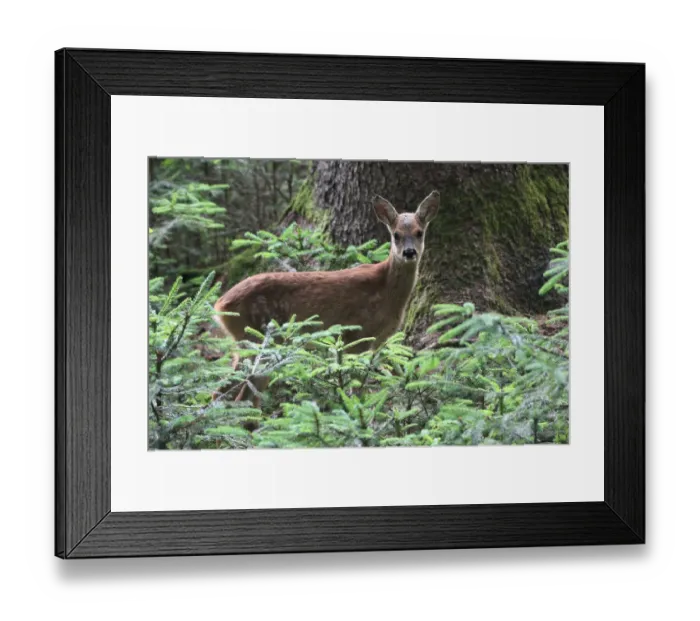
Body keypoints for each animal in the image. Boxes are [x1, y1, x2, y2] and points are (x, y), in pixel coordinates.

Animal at [212, 190, 440, 406]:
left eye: (419, 233)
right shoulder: (357, 335)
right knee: (240, 395)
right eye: (396, 235)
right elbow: (356, 385)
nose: (409, 253)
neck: (387, 291)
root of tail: (220, 305)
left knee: (228, 392)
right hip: (258, 339)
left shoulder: (376, 341)